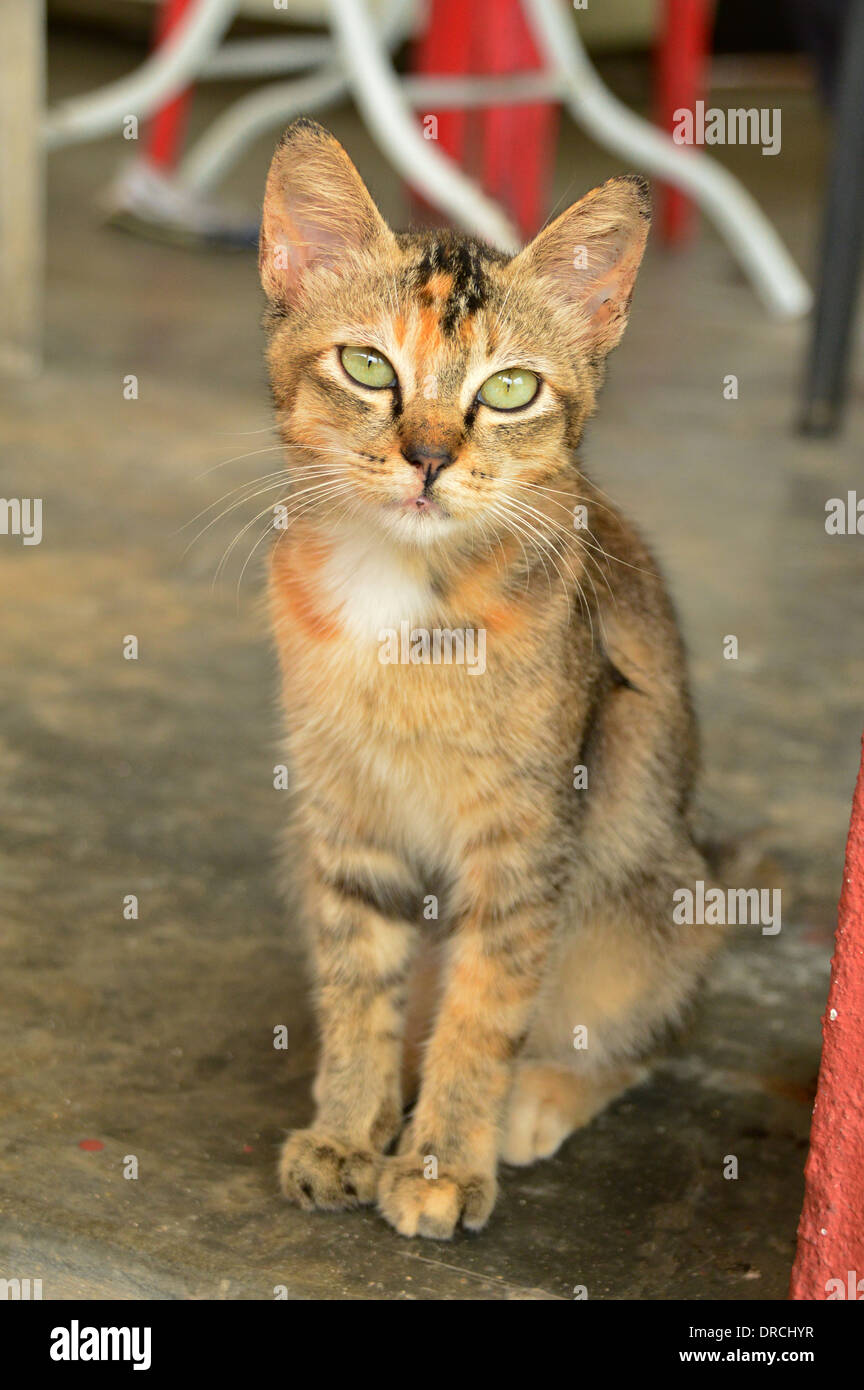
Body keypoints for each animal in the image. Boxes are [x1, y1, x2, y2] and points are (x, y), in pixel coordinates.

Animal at [258, 113, 722, 1234]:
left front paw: (440, 1163)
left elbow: (485, 1005)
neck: (399, 588)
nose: (427, 457)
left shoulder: (527, 841)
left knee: (649, 1028)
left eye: (509, 389)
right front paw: (348, 1128)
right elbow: (357, 979)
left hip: (651, 896)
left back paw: (536, 1098)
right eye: (368, 366)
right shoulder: (344, 819)